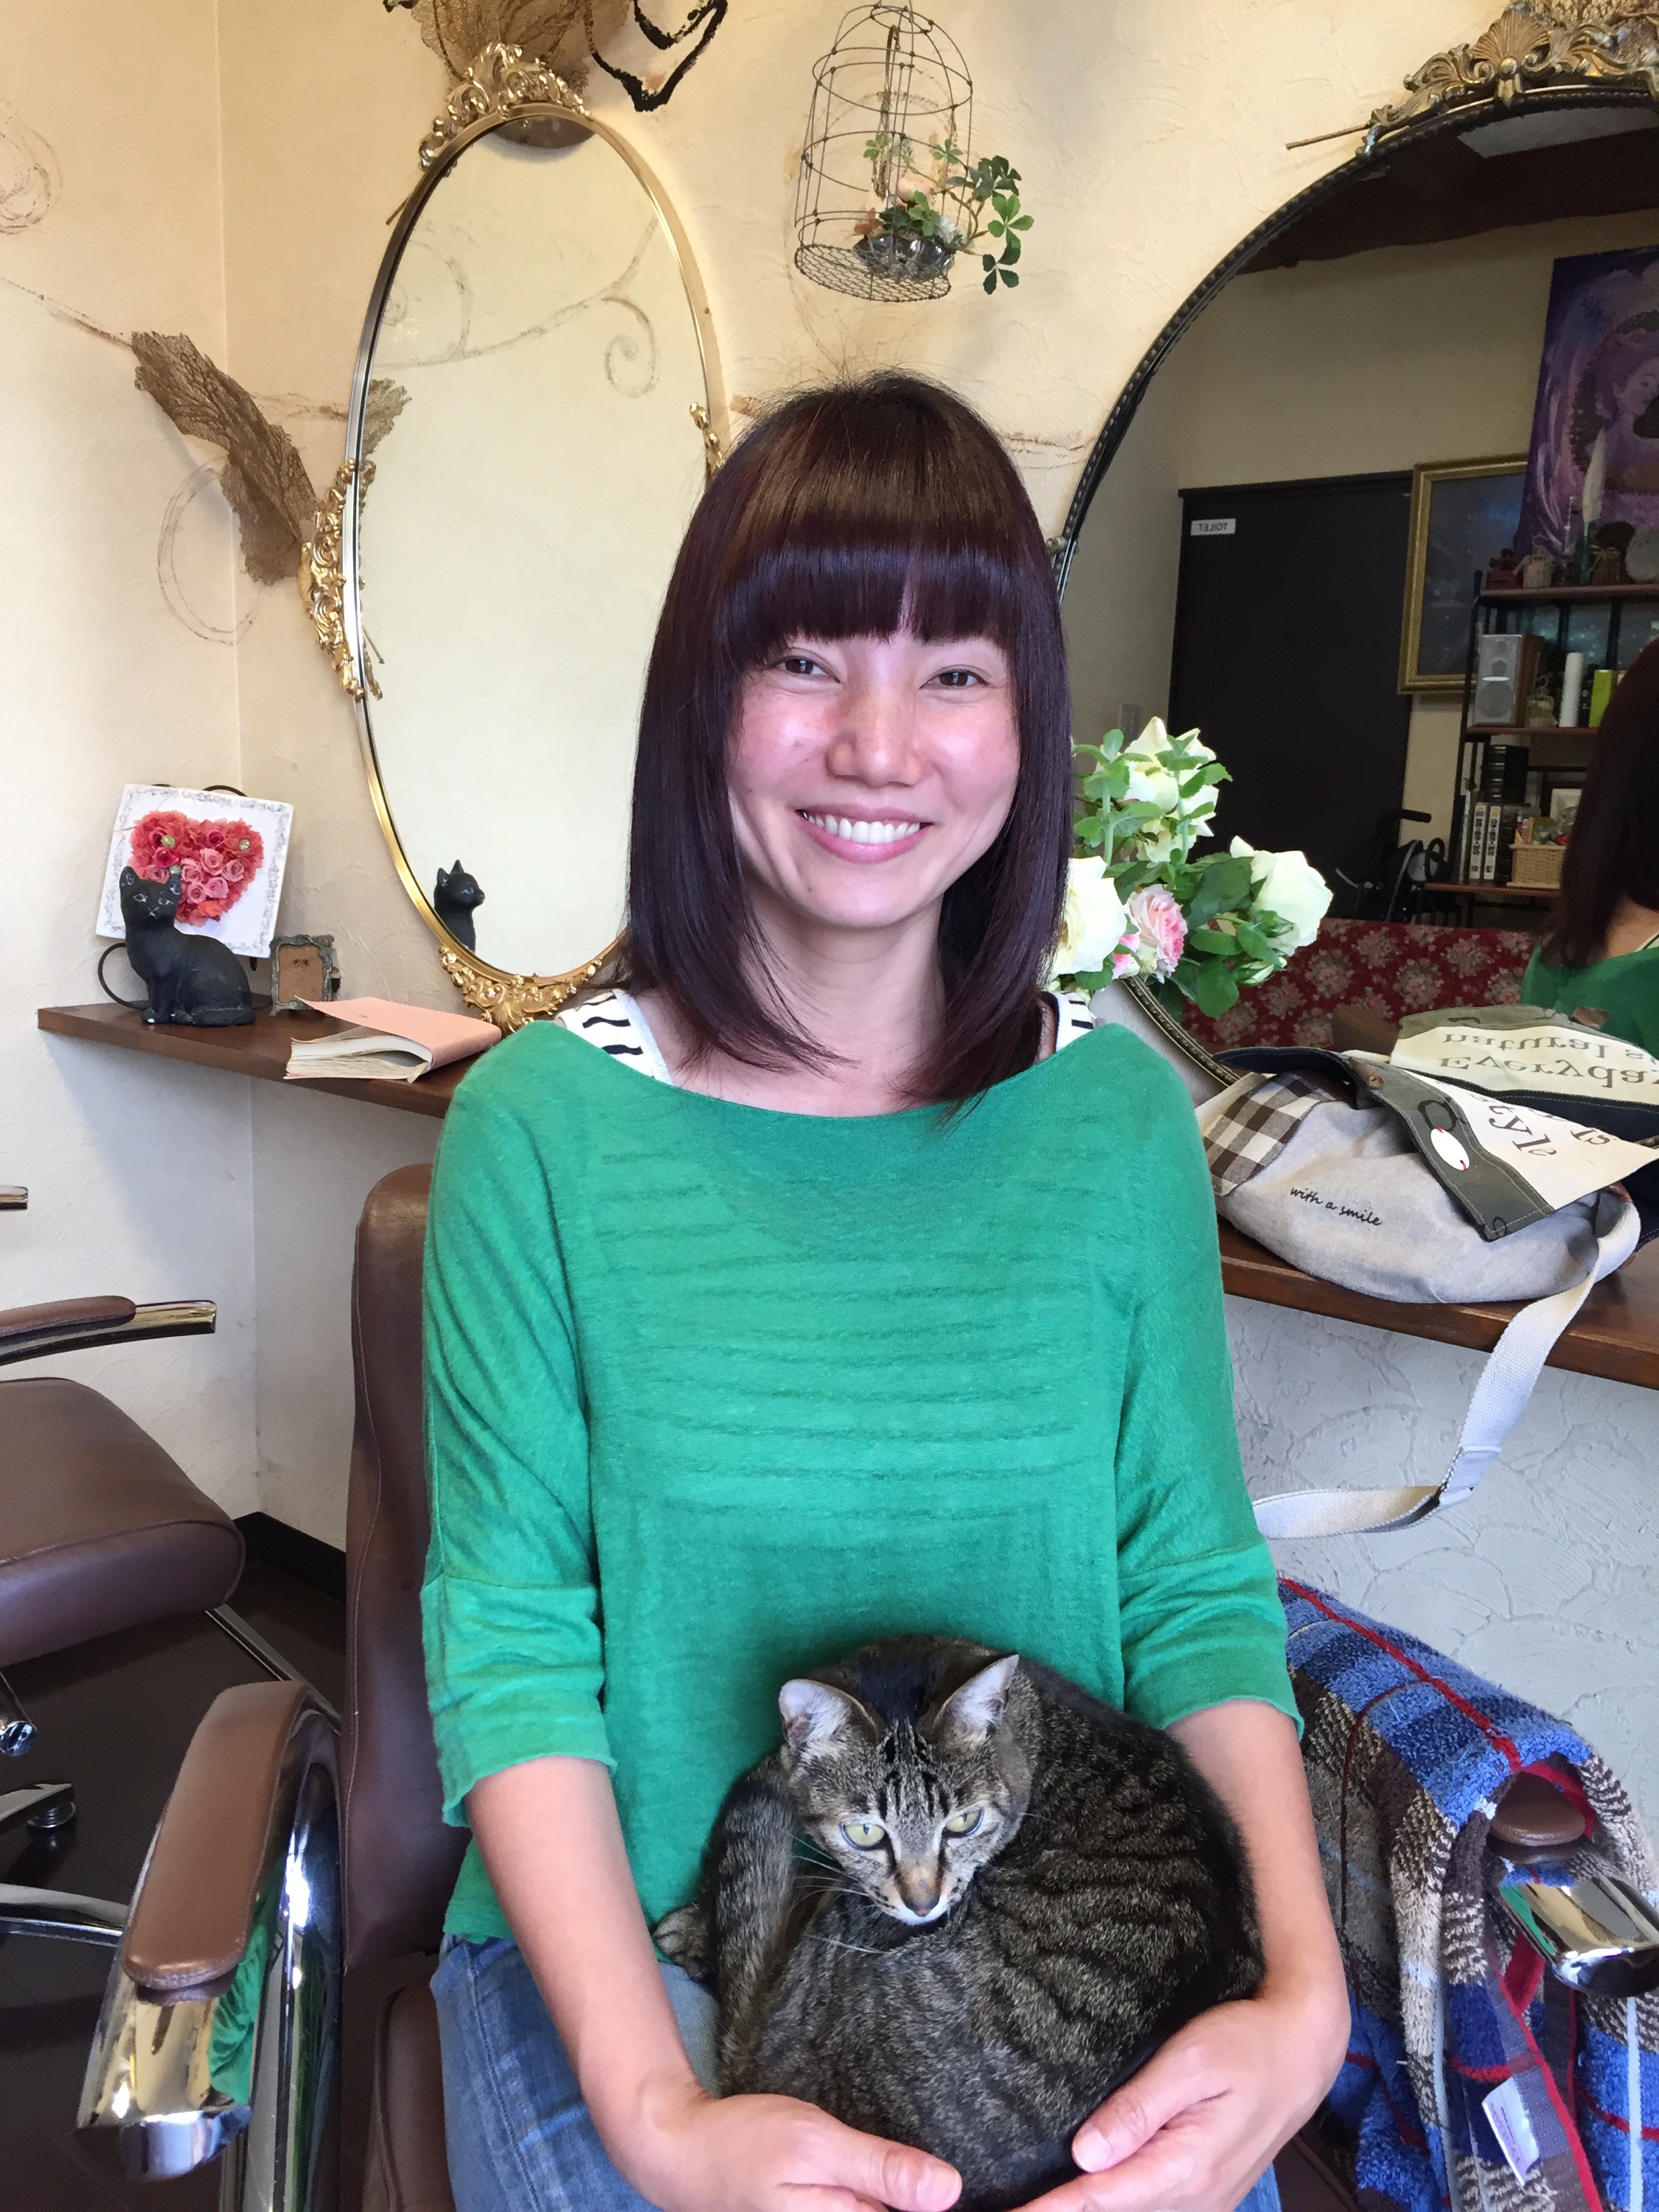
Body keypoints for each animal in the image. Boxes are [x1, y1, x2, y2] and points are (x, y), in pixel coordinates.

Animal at [119, 867, 254, 1027]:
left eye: (163, 900)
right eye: (140, 897)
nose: (153, 907)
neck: (146, 937)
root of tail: (247, 1005)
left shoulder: (166, 978)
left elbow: (163, 999)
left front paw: (157, 1017)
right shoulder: (150, 981)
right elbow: (153, 997)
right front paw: (152, 1013)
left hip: (194, 980)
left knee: (206, 1015)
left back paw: (183, 1016)